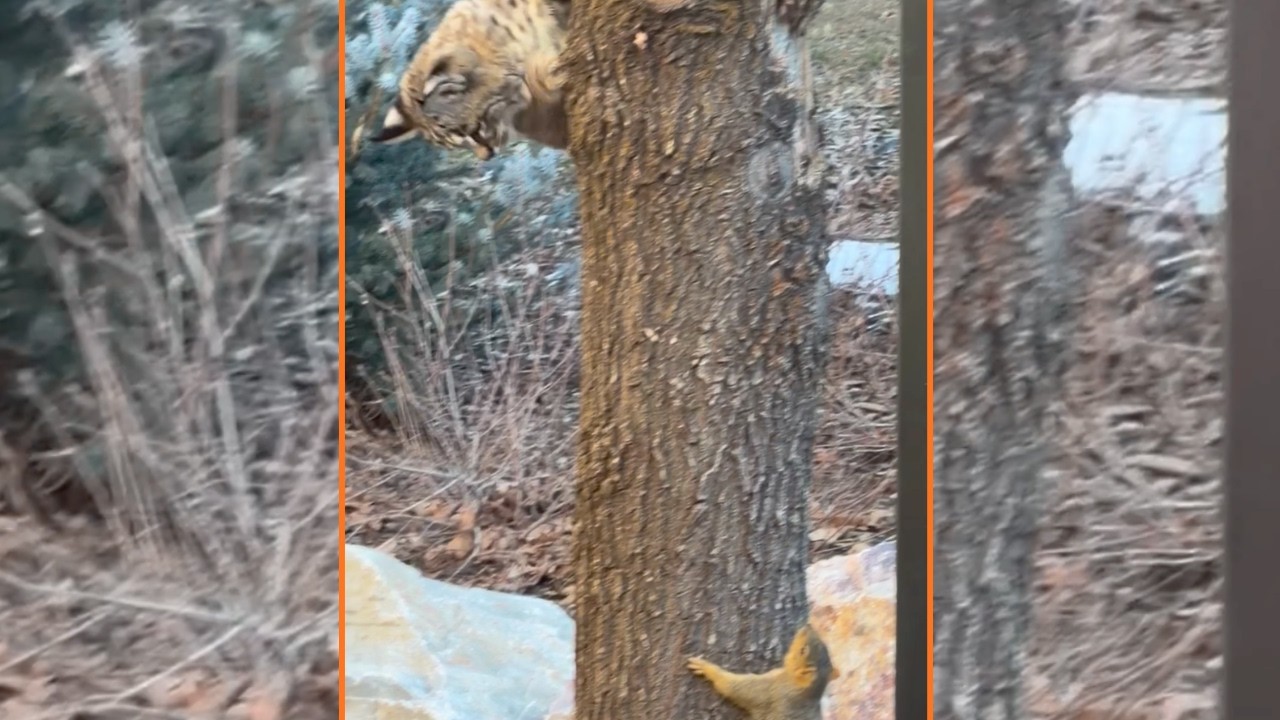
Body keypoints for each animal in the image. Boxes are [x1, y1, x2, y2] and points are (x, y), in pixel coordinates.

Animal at [687, 622, 836, 720]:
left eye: (803, 650)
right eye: (825, 646)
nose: (808, 625)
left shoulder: (770, 691)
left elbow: (735, 687)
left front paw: (706, 667)